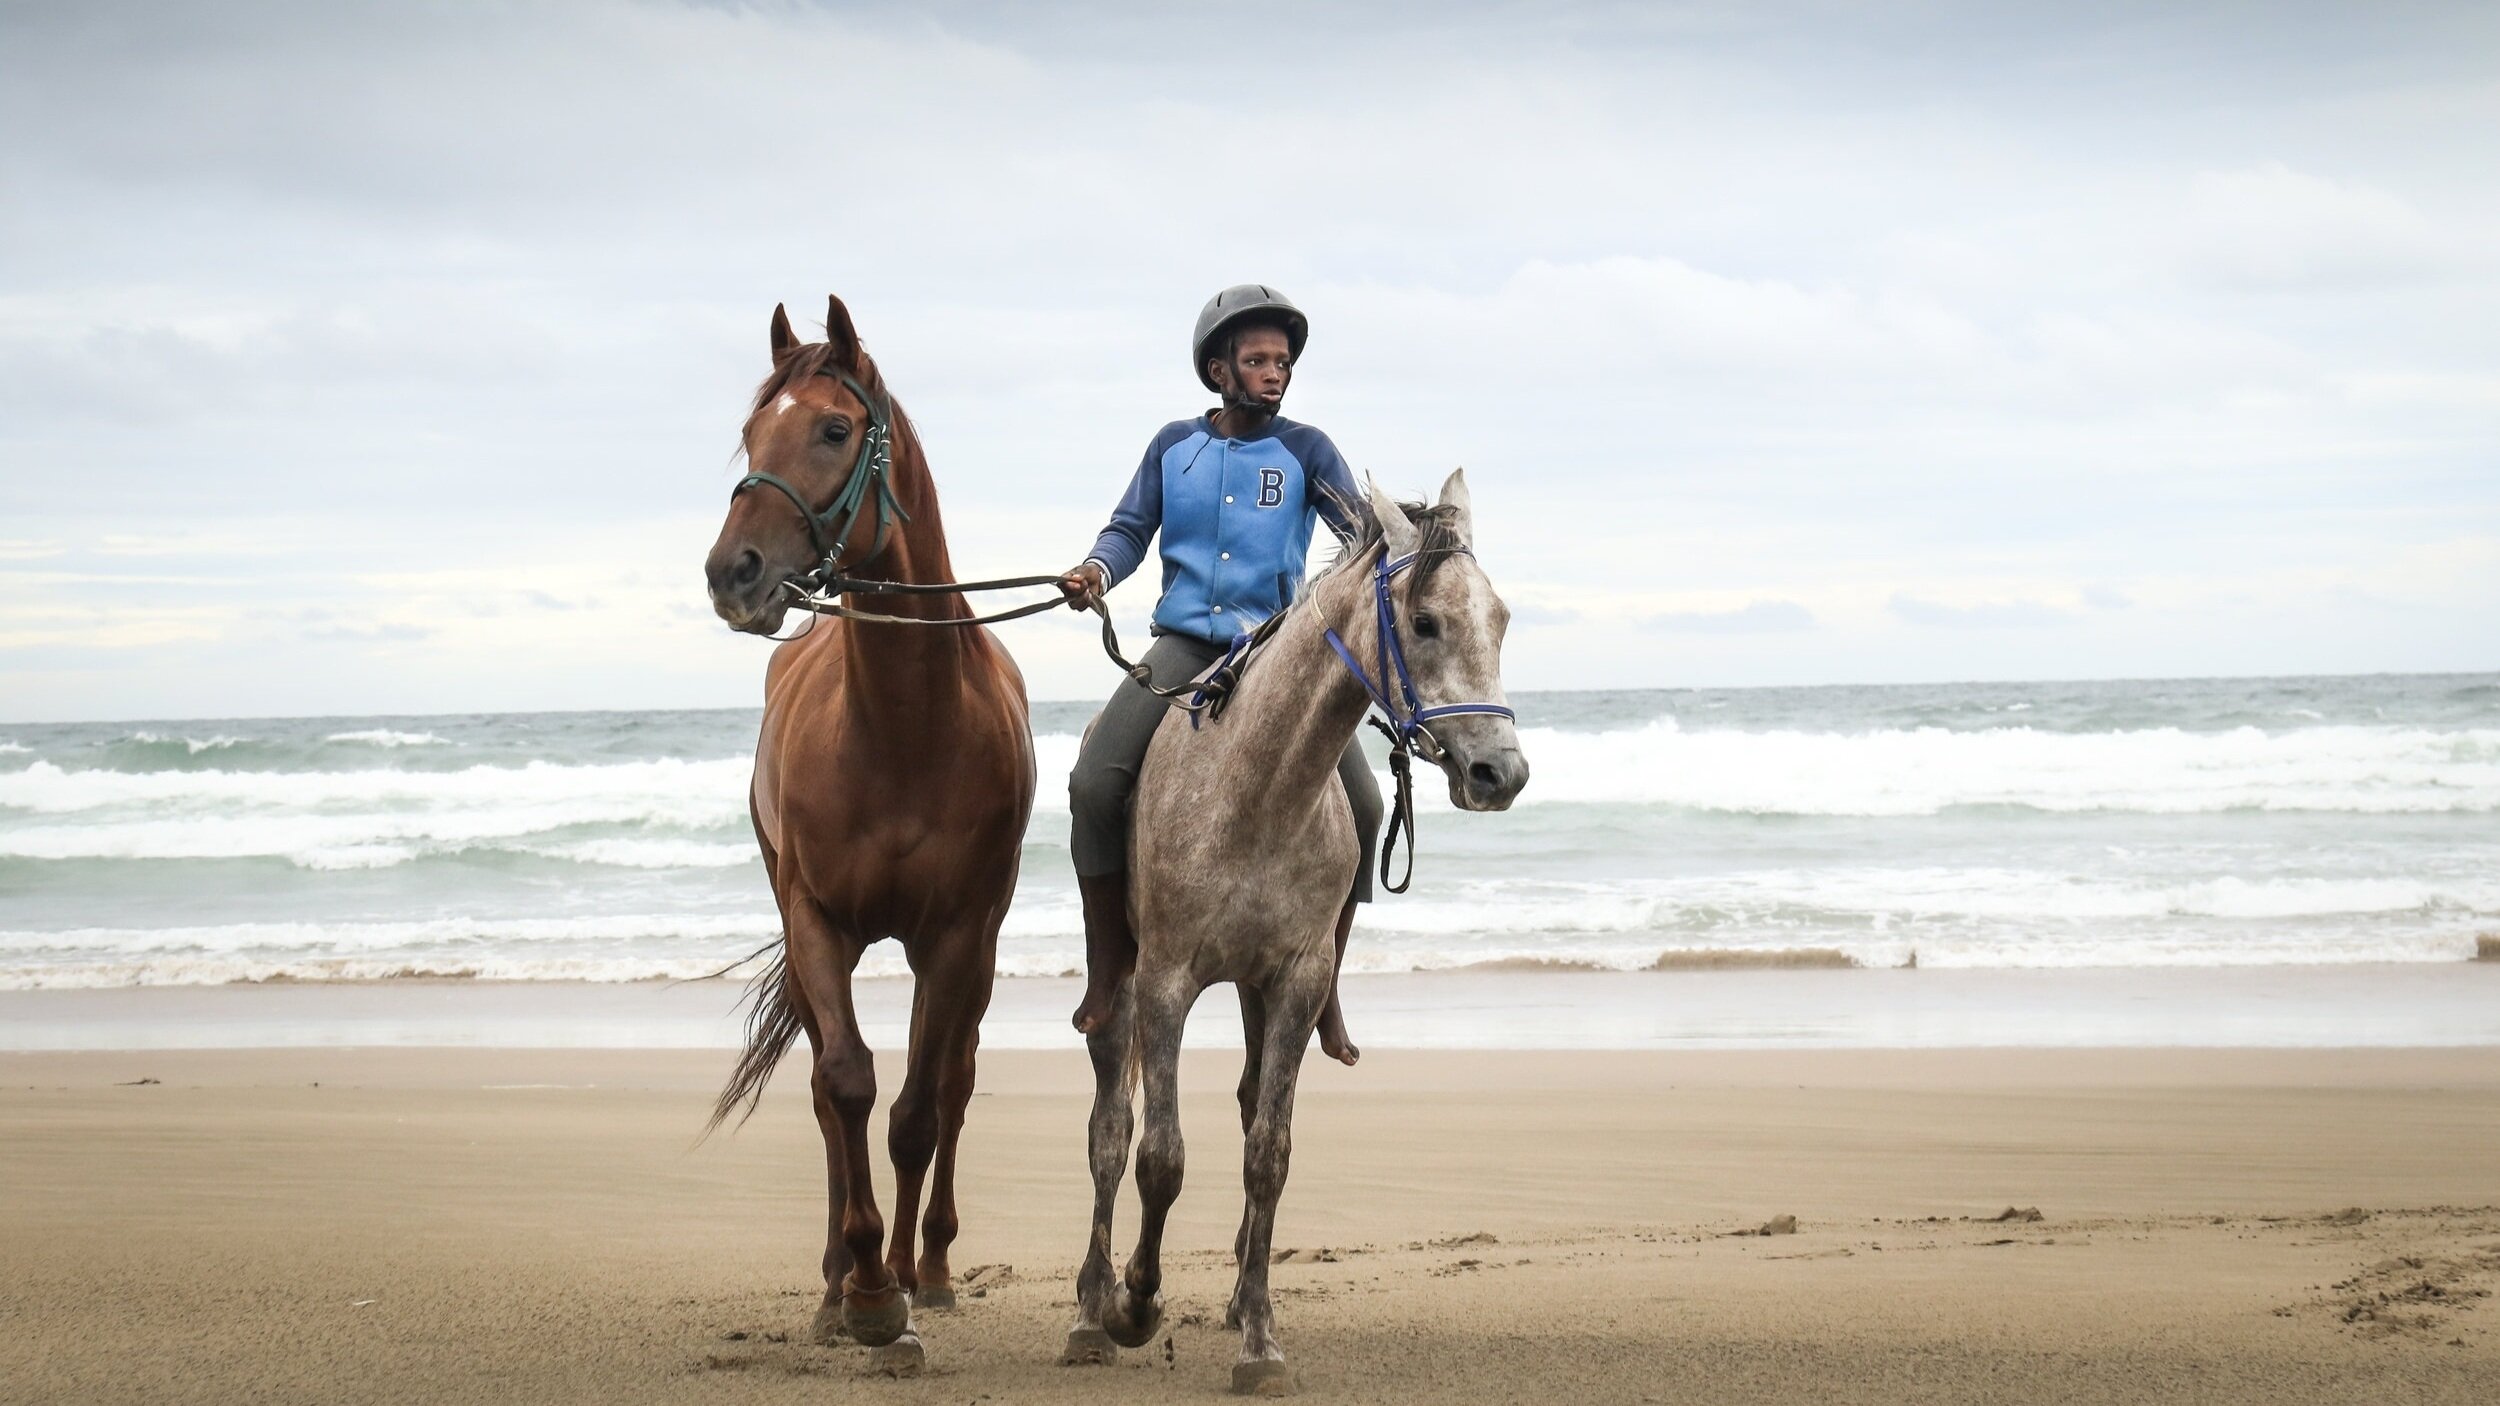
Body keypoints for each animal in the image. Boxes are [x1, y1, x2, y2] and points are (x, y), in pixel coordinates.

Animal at [705, 295, 1035, 1370]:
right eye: (751, 433)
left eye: (834, 430)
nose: (733, 573)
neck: (900, 725)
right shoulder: (815, 920)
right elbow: (843, 1086)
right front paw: (858, 1291)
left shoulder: (956, 937)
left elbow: (918, 1113)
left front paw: (897, 1290)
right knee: (825, 1091)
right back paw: (836, 1280)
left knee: (955, 1086)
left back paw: (926, 1267)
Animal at [1060, 465, 1520, 1380]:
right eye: (1425, 621)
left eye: (1501, 618)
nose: (1502, 772)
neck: (1259, 784)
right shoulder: (1166, 982)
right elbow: (1158, 1155)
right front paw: (1136, 1304)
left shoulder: (1298, 981)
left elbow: (1268, 1151)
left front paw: (1260, 1338)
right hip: (1121, 990)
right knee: (1109, 1129)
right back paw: (1093, 1311)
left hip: (1256, 993)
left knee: (1244, 1107)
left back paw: (1236, 1296)